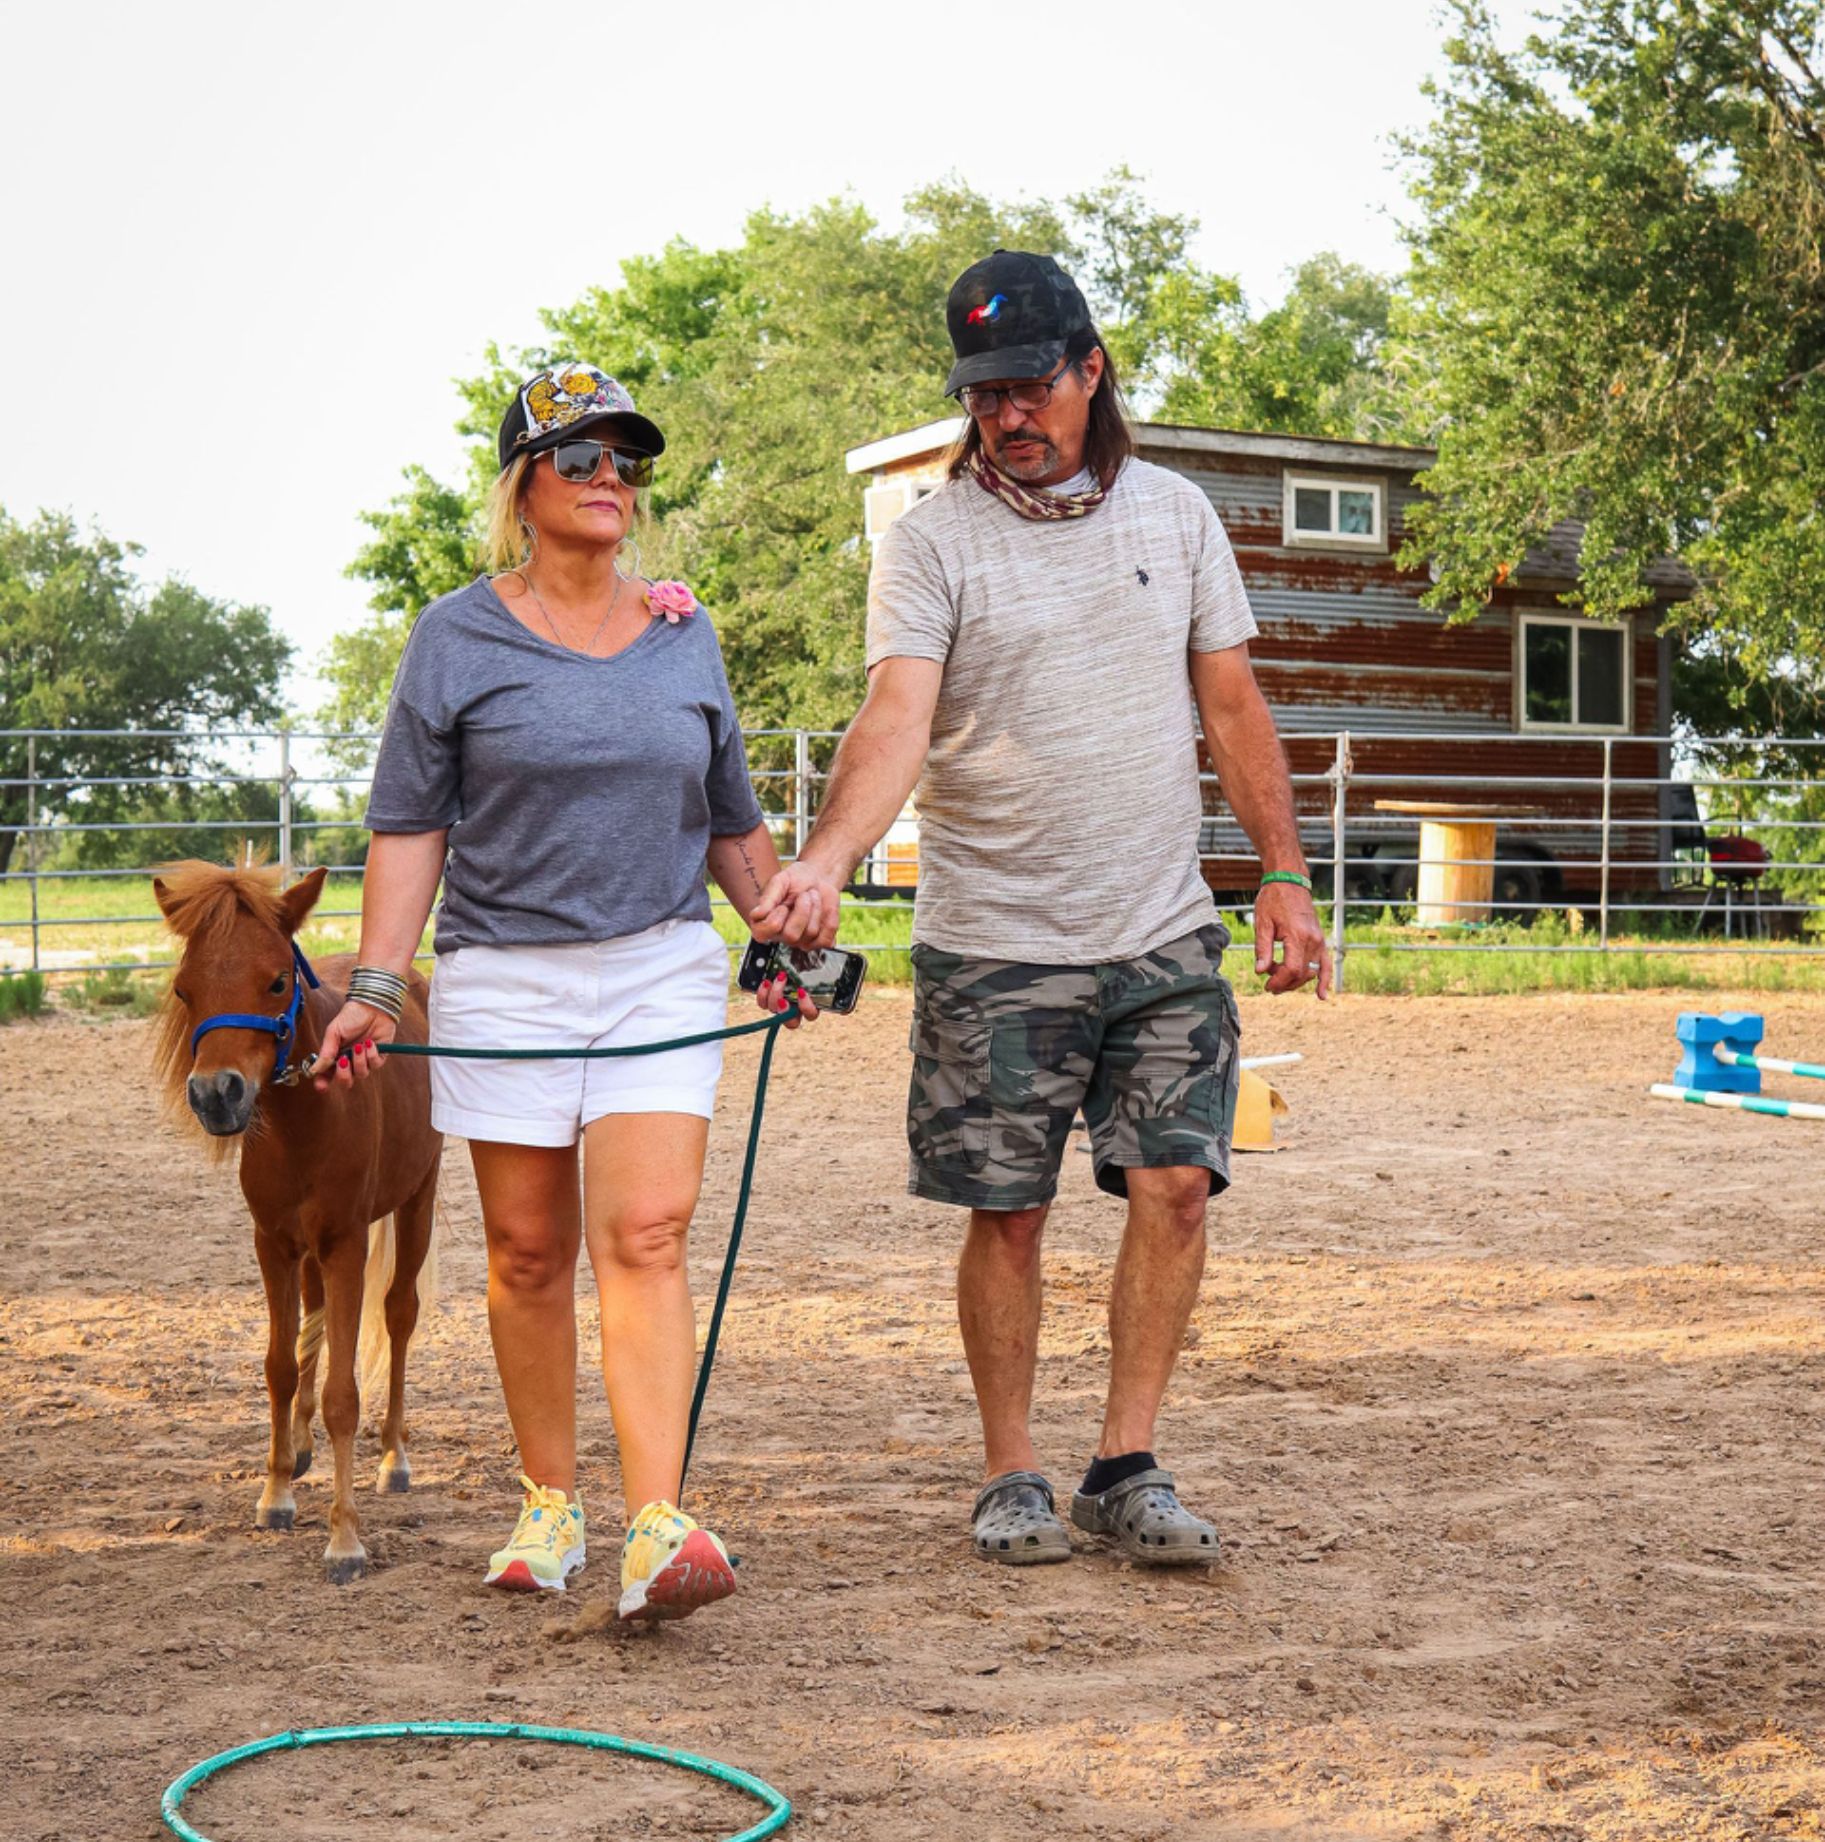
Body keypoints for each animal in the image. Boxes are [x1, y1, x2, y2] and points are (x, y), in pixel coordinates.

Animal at [151, 859, 444, 1583]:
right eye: (184, 988)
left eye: (277, 981)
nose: (216, 1094)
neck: (306, 1121)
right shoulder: (274, 1244)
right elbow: (282, 1365)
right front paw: (277, 1491)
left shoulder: (344, 1243)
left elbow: (344, 1392)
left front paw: (344, 1539)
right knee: (314, 1322)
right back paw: (305, 1445)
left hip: (416, 1201)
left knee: (399, 1315)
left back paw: (393, 1457)